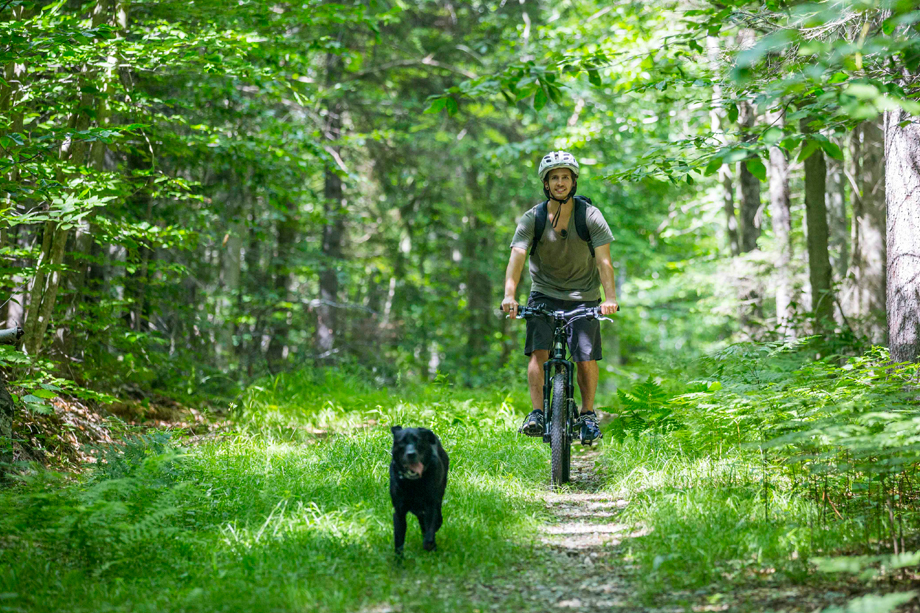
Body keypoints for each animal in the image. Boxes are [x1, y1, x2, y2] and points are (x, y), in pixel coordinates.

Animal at [388, 426, 450, 556]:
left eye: (418, 441)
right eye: (401, 442)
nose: (411, 454)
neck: (413, 484)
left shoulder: (431, 506)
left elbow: (431, 528)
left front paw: (429, 544)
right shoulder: (399, 513)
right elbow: (399, 541)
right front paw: (398, 560)